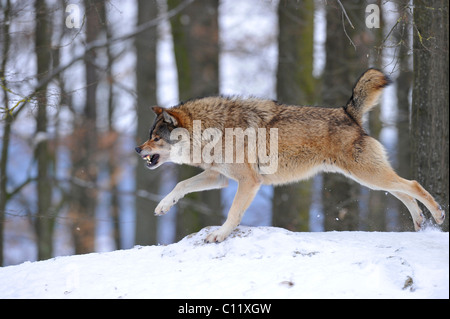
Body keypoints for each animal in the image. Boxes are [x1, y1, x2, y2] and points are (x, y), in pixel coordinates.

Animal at [135, 68, 444, 242]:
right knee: (404, 191)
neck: (213, 131)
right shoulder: (219, 177)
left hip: (367, 175)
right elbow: (181, 185)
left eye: (155, 137)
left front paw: (220, 235)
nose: (137, 149)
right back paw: (419, 222)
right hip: (368, 179)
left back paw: (439, 215)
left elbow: (233, 213)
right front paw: (163, 206)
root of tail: (348, 112)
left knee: (413, 184)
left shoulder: (249, 182)